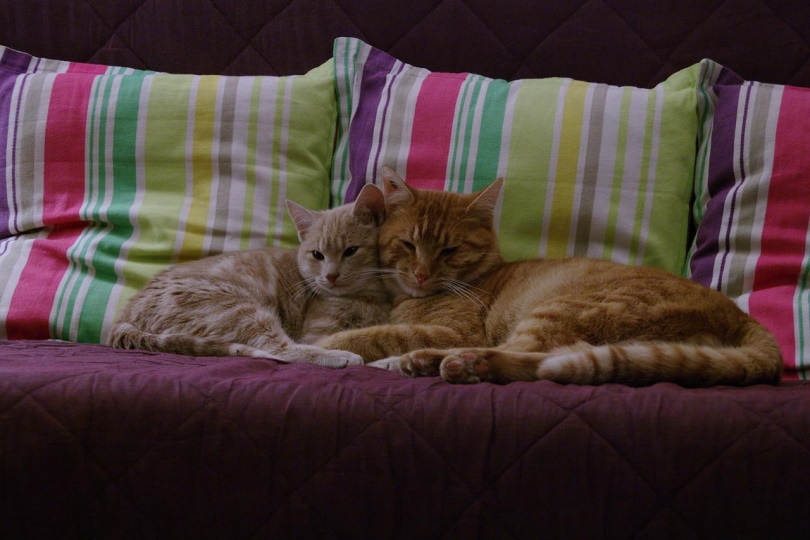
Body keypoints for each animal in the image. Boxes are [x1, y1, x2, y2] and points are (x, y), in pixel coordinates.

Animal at [109, 185, 388, 368]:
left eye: (351, 251)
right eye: (317, 255)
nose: (330, 275)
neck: (369, 297)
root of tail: (123, 317)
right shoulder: (317, 333)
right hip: (240, 309)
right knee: (279, 348)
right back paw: (342, 357)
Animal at [312, 167, 780, 386]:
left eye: (449, 251)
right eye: (409, 245)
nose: (423, 275)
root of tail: (740, 316)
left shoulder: (456, 328)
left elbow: (381, 333)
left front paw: (327, 346)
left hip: (561, 310)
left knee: (532, 359)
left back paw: (448, 363)